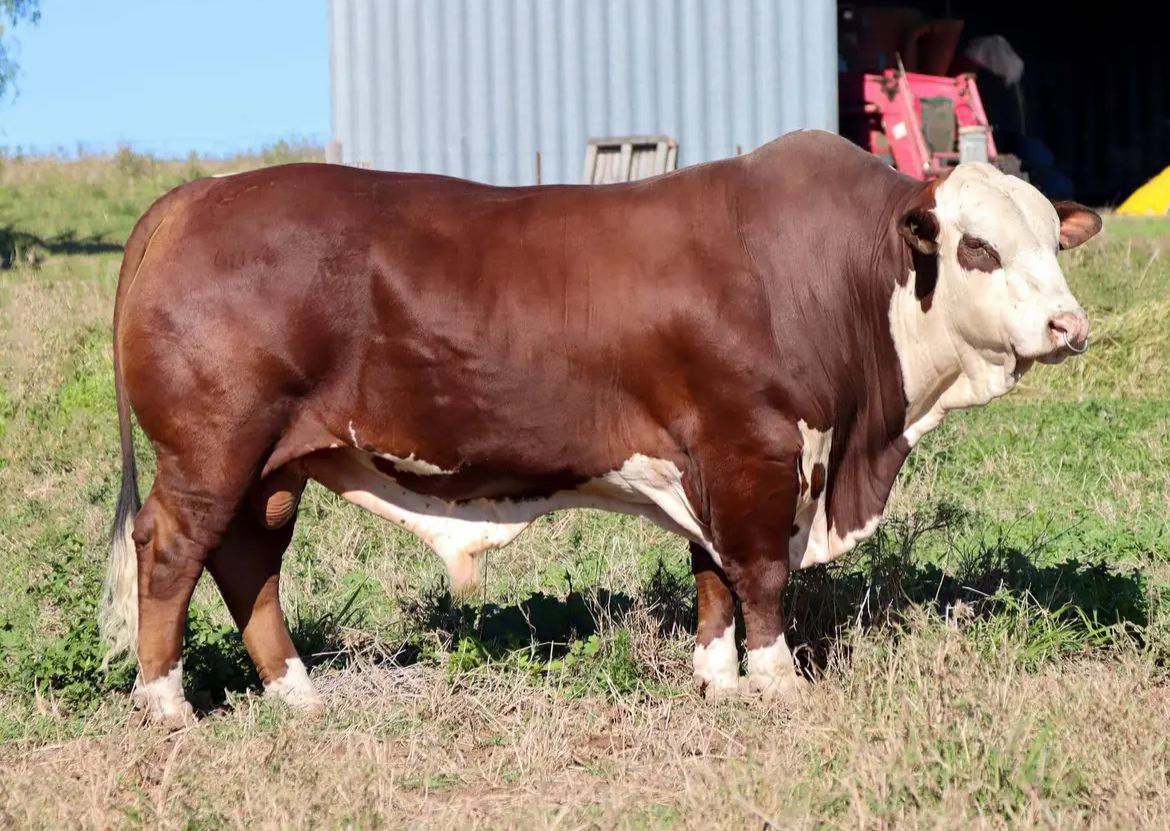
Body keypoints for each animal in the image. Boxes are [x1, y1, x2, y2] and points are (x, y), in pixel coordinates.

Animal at [100, 129, 1101, 726]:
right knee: (173, 550)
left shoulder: (707, 457)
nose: (1068, 326)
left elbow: (713, 575)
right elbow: (761, 575)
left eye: (1054, 240)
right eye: (978, 246)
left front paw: (717, 675)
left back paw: (297, 691)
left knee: (247, 561)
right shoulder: (755, 449)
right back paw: (167, 702)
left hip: (275, 466)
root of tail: (193, 198)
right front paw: (778, 680)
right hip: (212, 451)